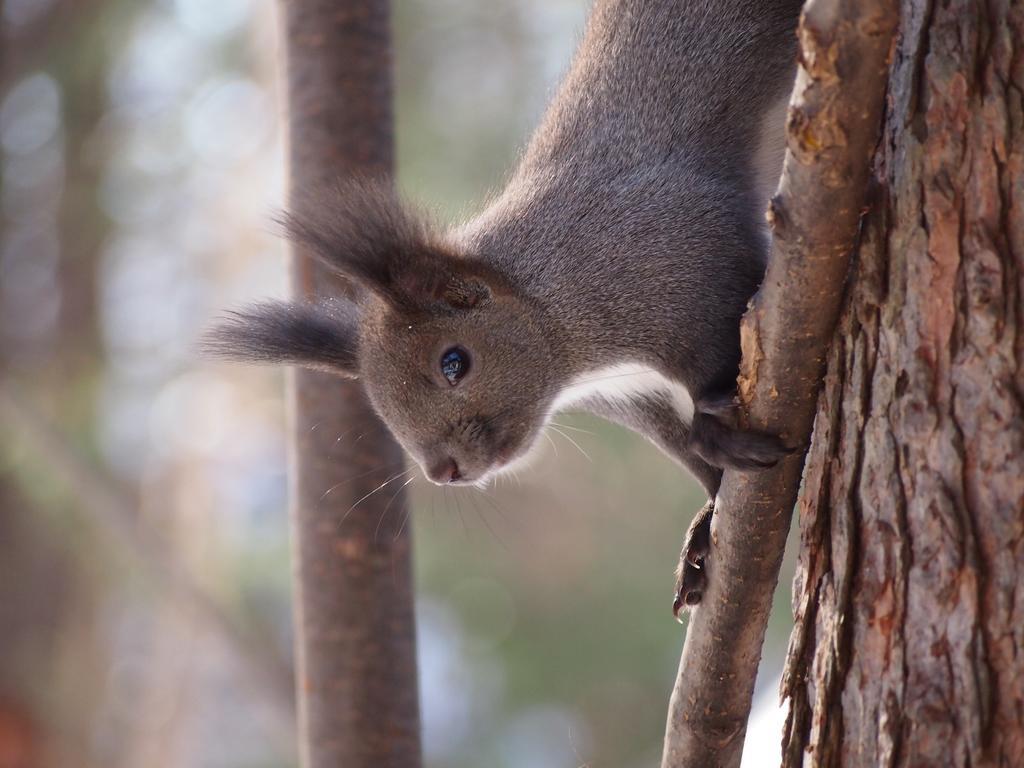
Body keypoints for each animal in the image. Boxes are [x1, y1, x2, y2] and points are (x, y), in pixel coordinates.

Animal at [203, 0, 802, 618]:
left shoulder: (687, 268)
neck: (549, 307)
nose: (443, 471)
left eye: (454, 362)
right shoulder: (638, 397)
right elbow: (691, 455)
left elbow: (722, 354)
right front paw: (706, 521)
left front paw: (719, 437)